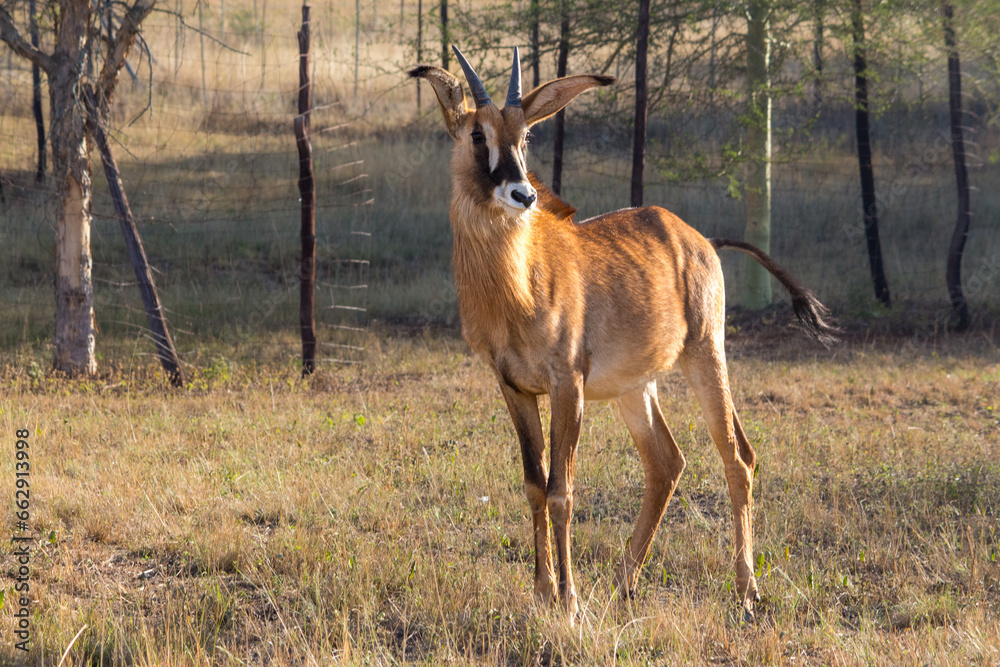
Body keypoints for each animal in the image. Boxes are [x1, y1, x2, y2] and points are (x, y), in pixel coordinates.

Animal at [409, 46, 837, 621]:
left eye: (525, 137)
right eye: (477, 134)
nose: (522, 193)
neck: (514, 284)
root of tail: (702, 240)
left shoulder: (568, 384)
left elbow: (562, 489)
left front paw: (568, 601)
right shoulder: (513, 388)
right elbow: (533, 485)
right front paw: (542, 592)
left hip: (706, 357)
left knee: (738, 457)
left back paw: (746, 592)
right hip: (635, 387)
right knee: (667, 462)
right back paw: (624, 583)